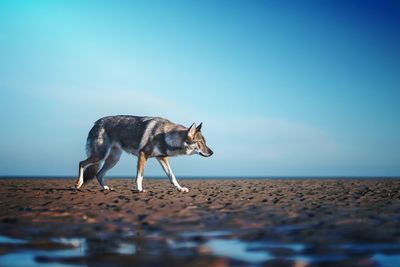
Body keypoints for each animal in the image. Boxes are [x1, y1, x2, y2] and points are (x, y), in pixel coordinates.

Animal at [74, 115, 212, 193]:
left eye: (205, 142)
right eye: (201, 142)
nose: (212, 152)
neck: (165, 136)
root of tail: (97, 123)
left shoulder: (162, 158)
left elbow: (172, 177)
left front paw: (180, 188)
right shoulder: (142, 155)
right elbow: (139, 176)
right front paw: (139, 189)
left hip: (113, 159)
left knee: (98, 174)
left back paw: (106, 188)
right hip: (100, 156)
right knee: (81, 163)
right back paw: (78, 184)